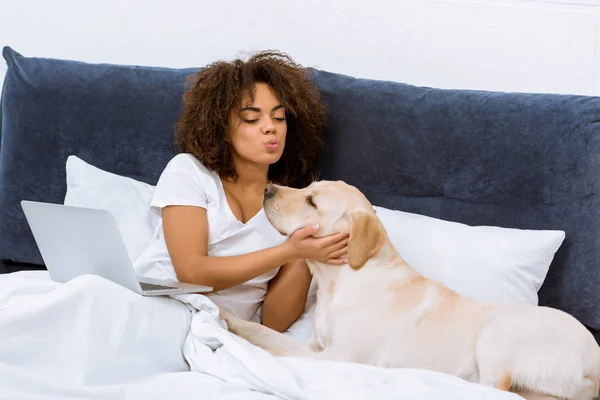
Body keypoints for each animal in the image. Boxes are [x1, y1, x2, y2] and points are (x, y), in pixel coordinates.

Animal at [219, 181, 600, 400]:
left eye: (312, 201)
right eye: (306, 188)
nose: (267, 187)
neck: (341, 280)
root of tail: (594, 363)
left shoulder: (335, 357)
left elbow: (275, 349)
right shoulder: (317, 345)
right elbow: (260, 330)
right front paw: (223, 314)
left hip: (499, 331)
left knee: (490, 389)